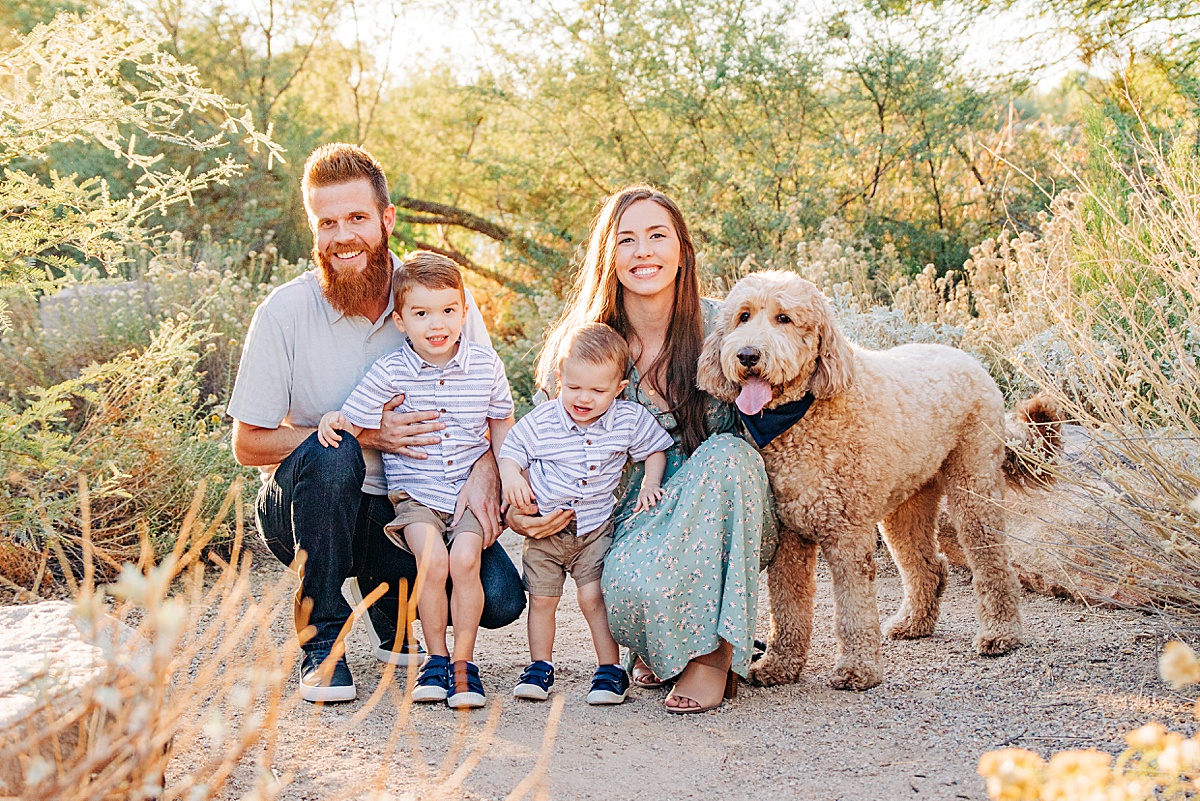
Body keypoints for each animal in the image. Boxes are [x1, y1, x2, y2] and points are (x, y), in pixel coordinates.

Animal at [696, 268, 1060, 690]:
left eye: (783, 318)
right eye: (743, 316)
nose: (747, 355)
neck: (800, 414)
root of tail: (969, 359)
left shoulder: (847, 534)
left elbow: (853, 610)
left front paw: (857, 669)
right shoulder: (791, 536)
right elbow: (787, 605)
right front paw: (779, 665)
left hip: (974, 486)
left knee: (993, 564)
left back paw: (1001, 634)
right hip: (907, 504)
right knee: (928, 565)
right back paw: (914, 624)